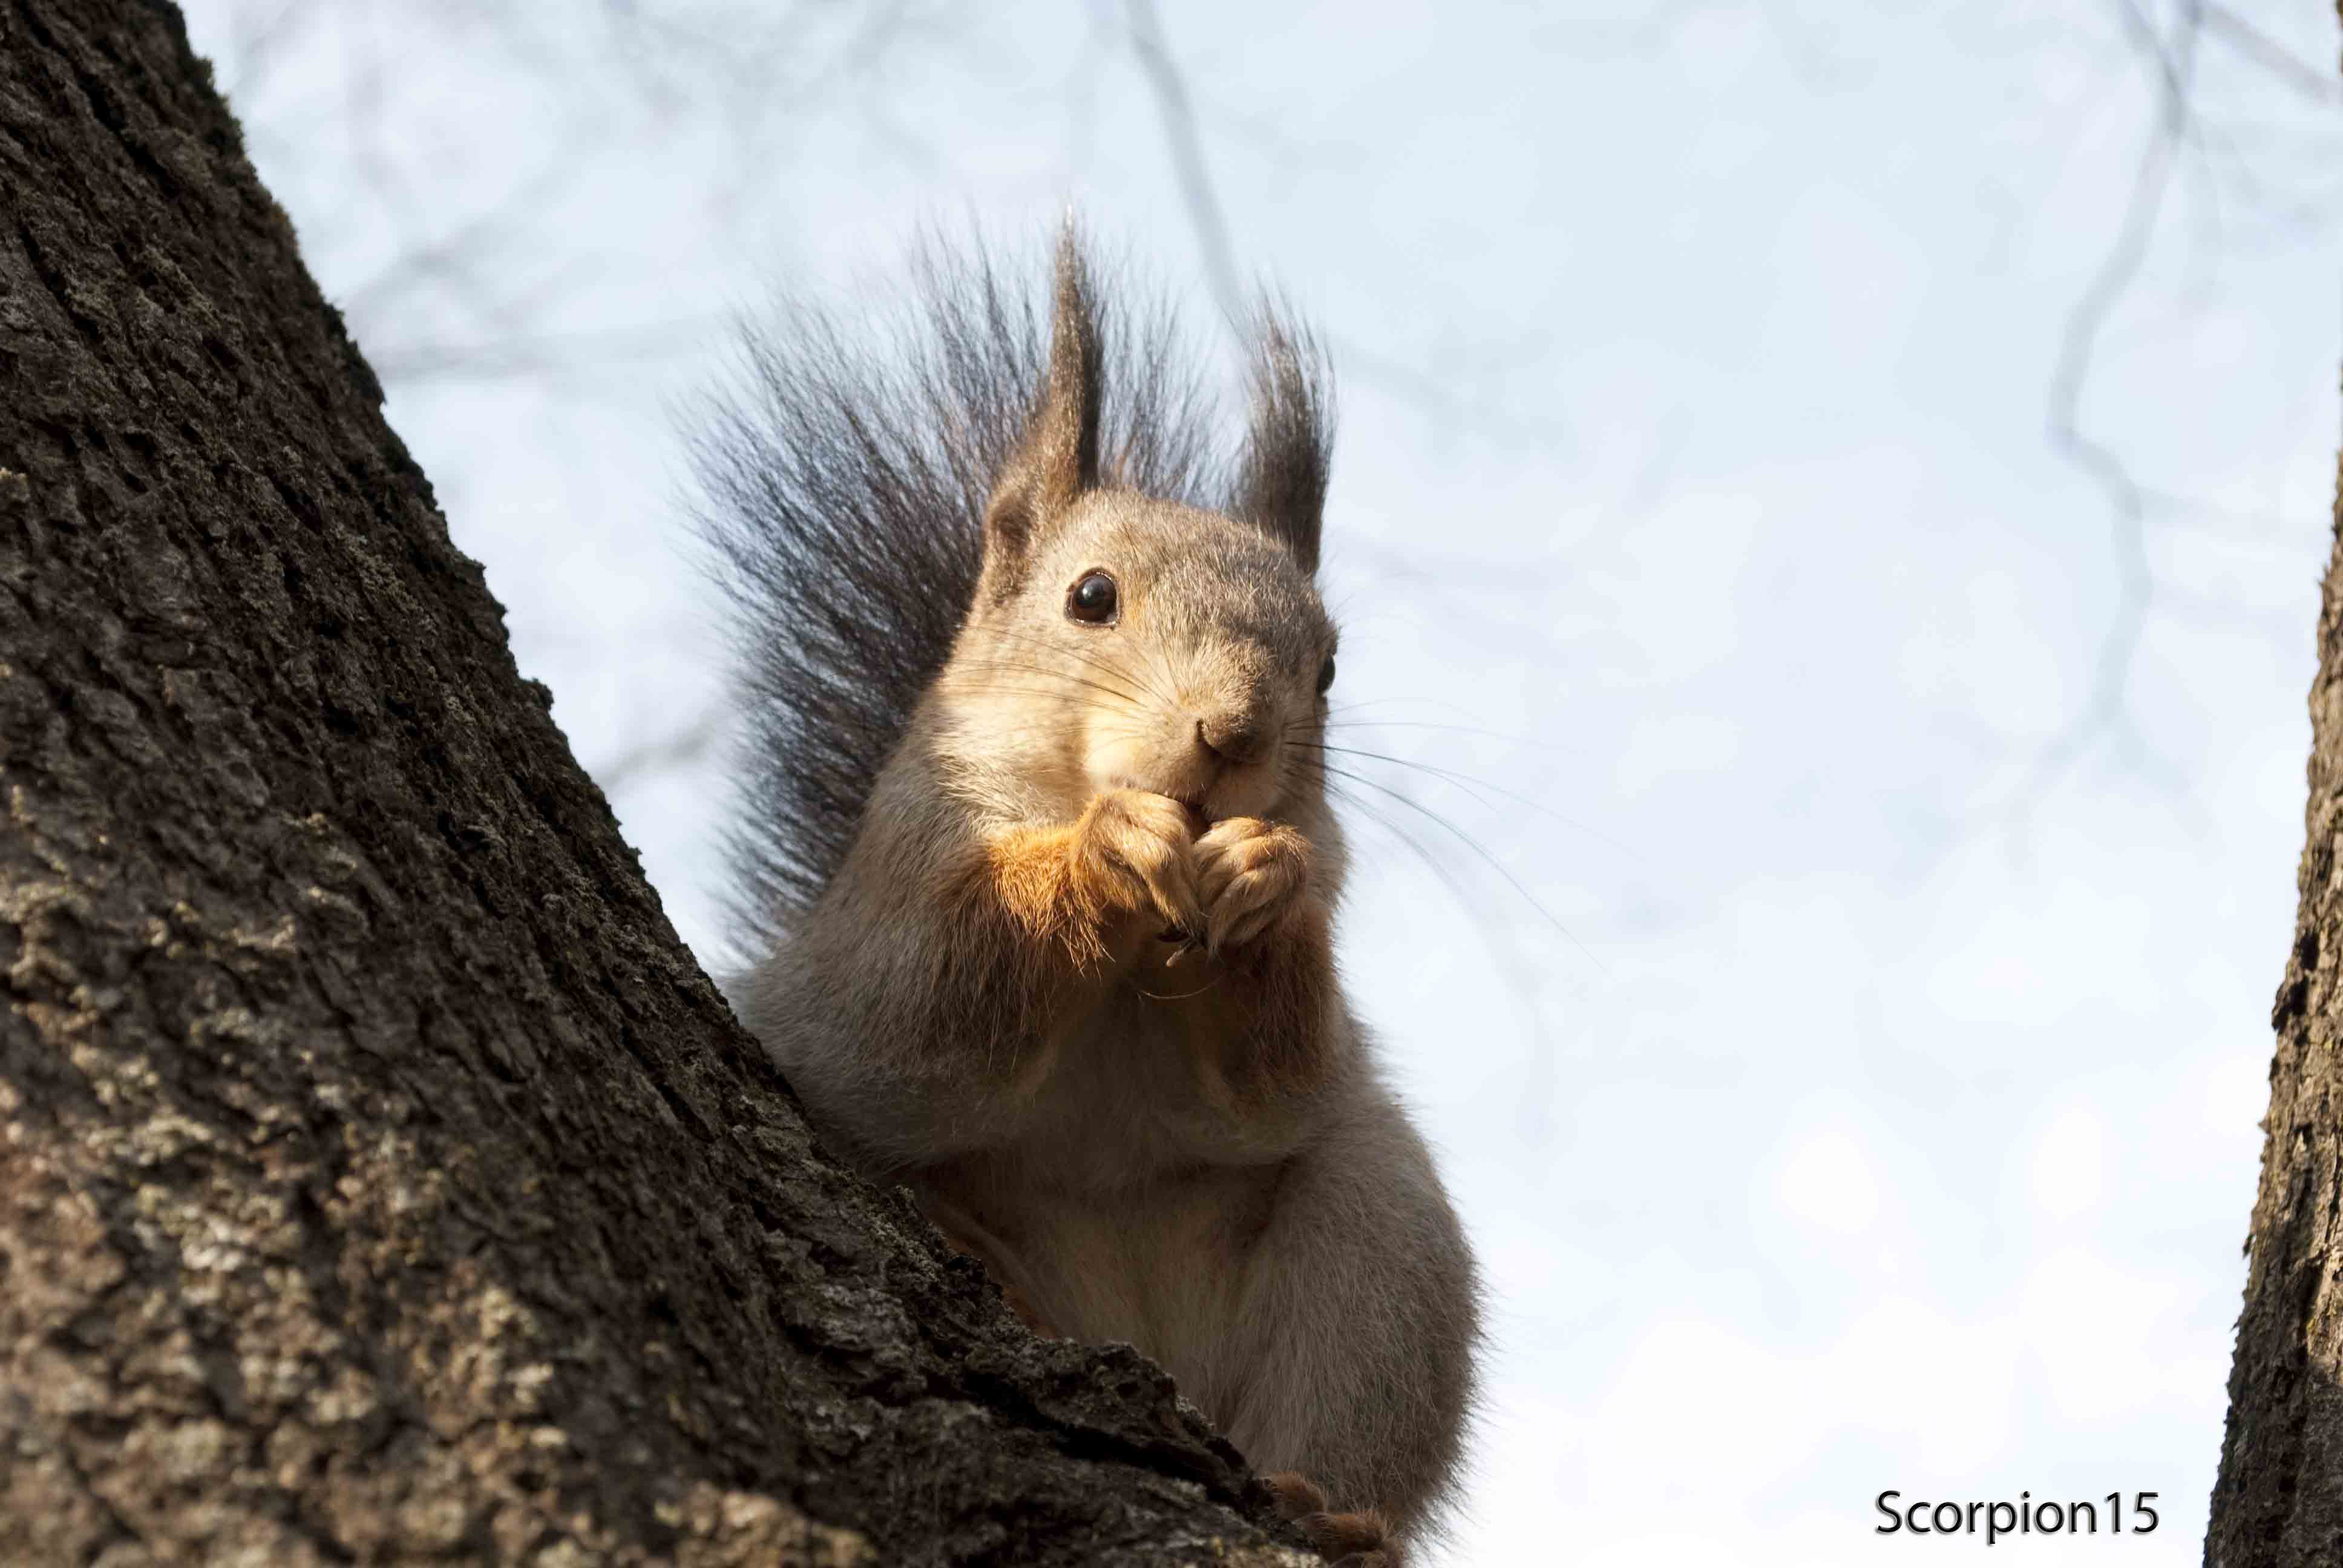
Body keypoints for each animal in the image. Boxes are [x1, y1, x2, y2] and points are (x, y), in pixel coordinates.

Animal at [693, 226, 1481, 1556]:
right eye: (1091, 597)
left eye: (1329, 665)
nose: (1231, 732)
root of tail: (1147, 1343)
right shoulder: (892, 897)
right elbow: (938, 994)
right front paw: (1099, 853)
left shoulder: (1297, 1041)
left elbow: (1280, 1066)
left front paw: (1265, 879)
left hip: (1382, 1254)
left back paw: (1327, 1507)